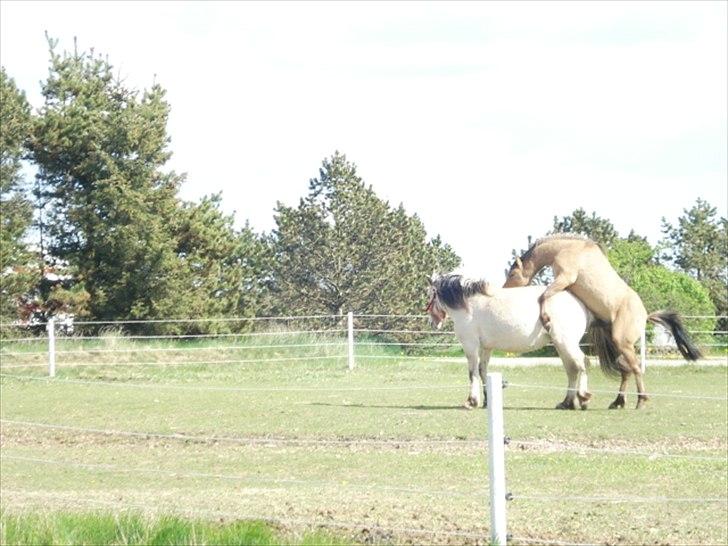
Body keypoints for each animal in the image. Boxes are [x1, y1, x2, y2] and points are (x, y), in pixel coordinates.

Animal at [426, 272, 592, 408]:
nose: (432, 323)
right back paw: (567, 403)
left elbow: (472, 372)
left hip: (566, 343)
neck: (469, 306)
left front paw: (471, 401)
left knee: (582, 362)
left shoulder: (470, 345)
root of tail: (579, 302)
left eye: (429, 295)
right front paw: (487, 400)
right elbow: (482, 370)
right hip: (560, 345)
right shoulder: (486, 347)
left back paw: (583, 397)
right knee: (572, 369)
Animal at [504, 234, 704, 408]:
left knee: (636, 368)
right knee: (626, 371)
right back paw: (618, 402)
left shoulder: (565, 278)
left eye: (512, 274)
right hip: (618, 345)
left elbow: (543, 296)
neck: (568, 248)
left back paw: (641, 401)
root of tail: (645, 316)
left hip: (623, 343)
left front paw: (545, 318)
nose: (504, 289)